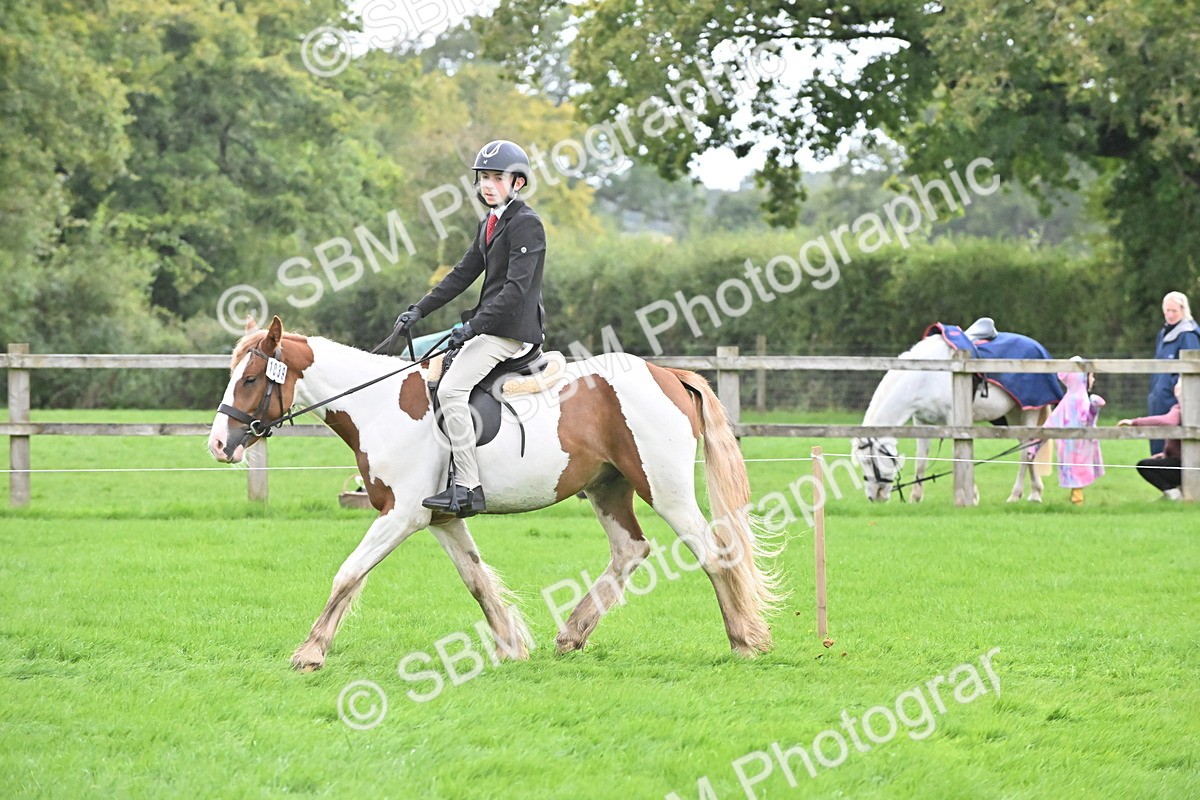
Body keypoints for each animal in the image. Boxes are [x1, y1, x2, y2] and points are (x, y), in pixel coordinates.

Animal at [207, 317, 781, 671]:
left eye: (252, 379)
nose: (218, 444)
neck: (380, 407)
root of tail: (668, 374)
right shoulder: (442, 518)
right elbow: (477, 581)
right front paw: (511, 647)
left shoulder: (400, 516)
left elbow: (348, 573)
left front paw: (310, 652)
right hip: (608, 488)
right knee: (630, 550)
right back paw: (572, 635)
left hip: (666, 491)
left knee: (714, 553)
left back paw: (743, 641)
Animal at [852, 327, 1056, 504]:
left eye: (868, 460)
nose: (874, 496)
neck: (925, 376)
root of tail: (1037, 347)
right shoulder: (922, 422)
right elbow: (921, 460)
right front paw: (915, 498)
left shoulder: (954, 421)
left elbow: (958, 457)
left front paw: (971, 496)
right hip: (1013, 414)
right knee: (1027, 446)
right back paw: (1034, 493)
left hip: (1029, 410)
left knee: (1025, 450)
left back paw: (1017, 495)